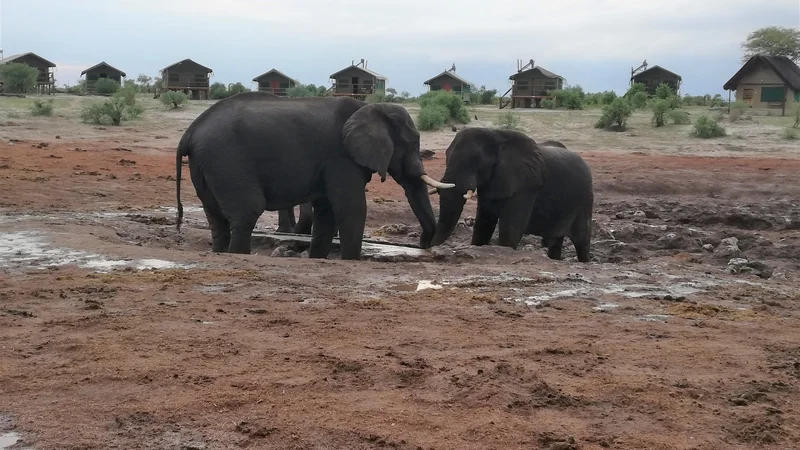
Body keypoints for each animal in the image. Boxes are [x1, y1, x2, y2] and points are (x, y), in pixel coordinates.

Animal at [176, 91, 454, 258]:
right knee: (247, 211)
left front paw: (318, 257)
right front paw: (351, 260)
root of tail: (190, 131)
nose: (425, 245)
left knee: (217, 218)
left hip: (207, 163)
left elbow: (327, 211)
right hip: (226, 158)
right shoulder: (340, 156)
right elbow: (351, 207)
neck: (370, 107)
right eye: (412, 143)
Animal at [432, 127, 592, 264]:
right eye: (446, 156)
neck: (496, 135)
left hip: (585, 200)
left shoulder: (526, 185)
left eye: (477, 161)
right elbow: (483, 226)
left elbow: (510, 231)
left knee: (582, 241)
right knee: (555, 241)